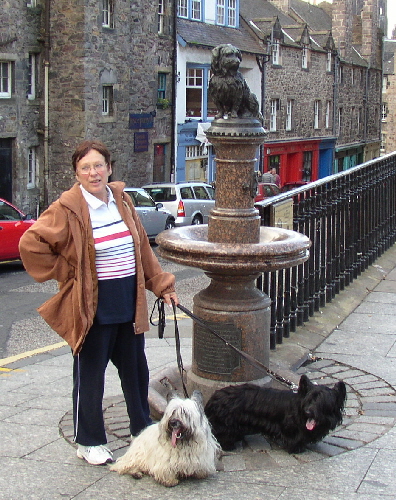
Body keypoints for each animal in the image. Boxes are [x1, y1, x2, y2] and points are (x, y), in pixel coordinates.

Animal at [204, 376, 346, 454]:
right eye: (309, 400)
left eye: (321, 402)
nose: (308, 412)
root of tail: (212, 398)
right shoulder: (291, 430)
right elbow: (294, 439)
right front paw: (297, 448)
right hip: (225, 424)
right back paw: (229, 445)